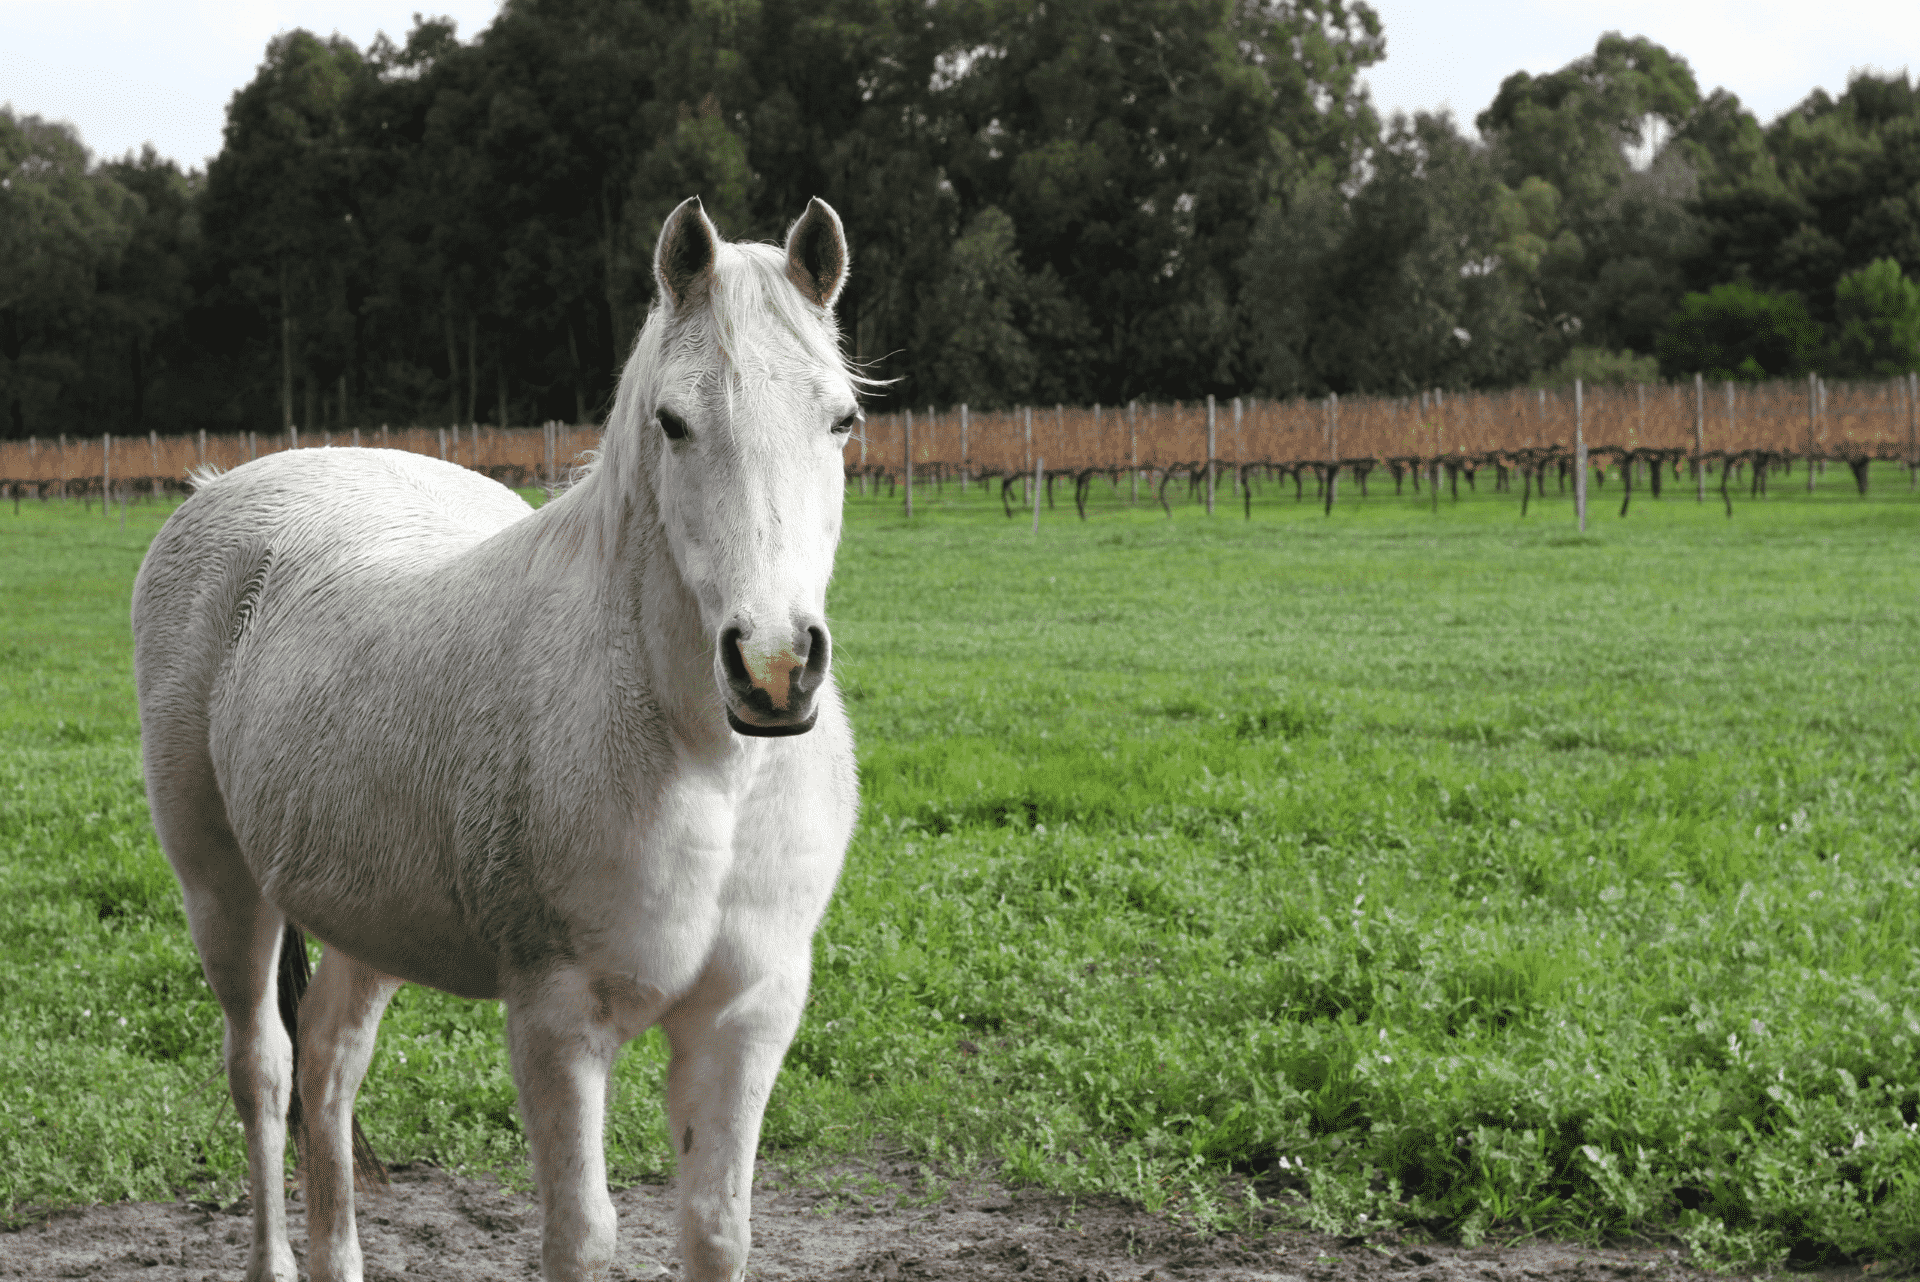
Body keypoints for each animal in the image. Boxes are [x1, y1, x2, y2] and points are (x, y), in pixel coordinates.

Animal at [129, 197, 864, 1282]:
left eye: (841, 419)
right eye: (674, 421)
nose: (772, 667)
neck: (704, 763)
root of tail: (223, 487)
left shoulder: (745, 1017)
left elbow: (717, 1226)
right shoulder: (558, 1020)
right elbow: (581, 1233)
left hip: (363, 914)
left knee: (330, 1062)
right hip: (223, 888)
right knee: (264, 1073)